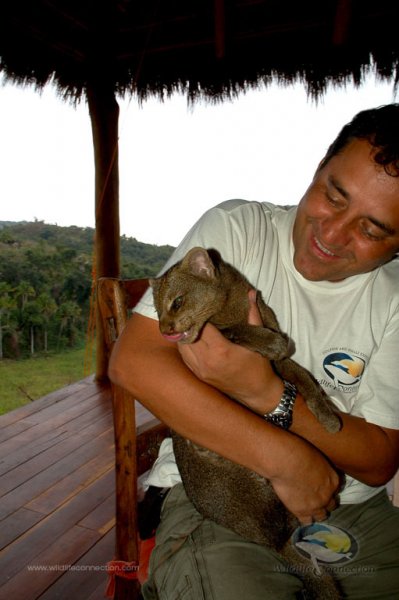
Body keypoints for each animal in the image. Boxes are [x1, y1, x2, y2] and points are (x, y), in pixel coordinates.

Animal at [150, 246, 340, 596]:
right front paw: (271, 341)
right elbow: (238, 332)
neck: (233, 302)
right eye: (156, 311)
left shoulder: (281, 366)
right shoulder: (230, 336)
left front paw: (329, 418)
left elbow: (307, 382)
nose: (164, 330)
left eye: (177, 302)